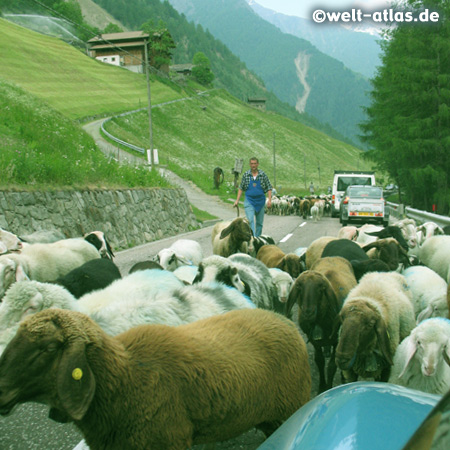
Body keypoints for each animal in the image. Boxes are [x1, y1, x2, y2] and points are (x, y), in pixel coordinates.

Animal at [286, 256, 356, 394]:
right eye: (300, 287)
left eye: (321, 288)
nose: (308, 312)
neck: (319, 321)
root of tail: (332, 257)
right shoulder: (315, 341)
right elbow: (319, 361)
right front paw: (322, 386)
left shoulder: (336, 341)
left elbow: (332, 366)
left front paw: (328, 387)